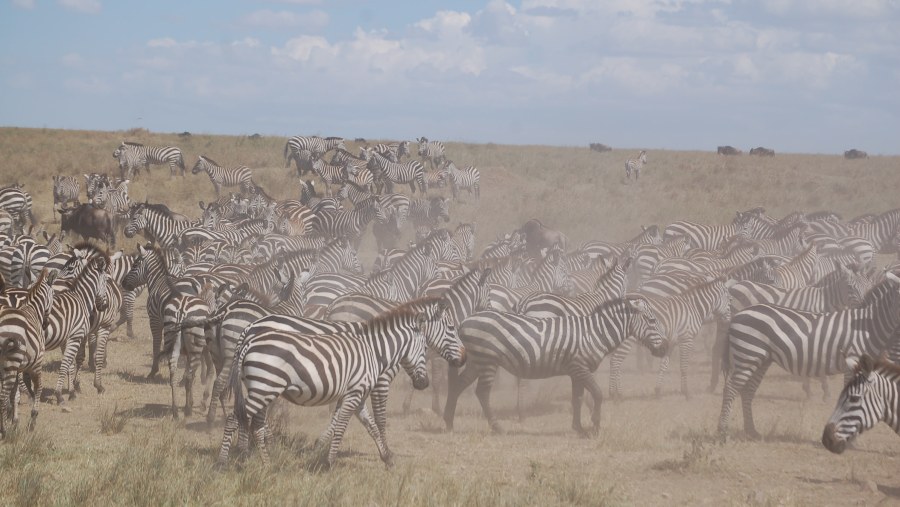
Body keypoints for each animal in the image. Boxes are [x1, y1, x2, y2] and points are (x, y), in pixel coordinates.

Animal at [0, 268, 55, 438]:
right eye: (54, 296)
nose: (46, 324)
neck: (33, 309)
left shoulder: (19, 368)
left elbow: (15, 394)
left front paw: (14, 421)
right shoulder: (36, 363)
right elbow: (38, 387)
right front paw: (32, 420)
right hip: (11, 362)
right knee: (2, 396)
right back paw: (4, 431)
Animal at [217, 298, 454, 468]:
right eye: (424, 348)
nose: (424, 383)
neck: (374, 351)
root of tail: (249, 335)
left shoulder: (356, 394)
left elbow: (368, 425)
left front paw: (387, 457)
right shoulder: (361, 390)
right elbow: (352, 424)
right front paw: (329, 462)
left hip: (263, 388)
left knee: (254, 421)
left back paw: (265, 462)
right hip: (264, 388)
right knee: (235, 418)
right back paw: (224, 462)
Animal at [444, 298, 668, 436]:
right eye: (652, 320)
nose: (665, 348)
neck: (595, 333)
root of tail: (464, 321)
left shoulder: (575, 371)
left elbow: (577, 399)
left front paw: (579, 428)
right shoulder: (580, 367)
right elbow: (597, 394)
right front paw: (595, 425)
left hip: (477, 361)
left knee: (458, 386)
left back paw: (449, 422)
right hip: (488, 360)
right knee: (482, 392)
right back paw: (497, 427)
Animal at [720, 270, 900, 440]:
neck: (869, 326)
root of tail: (739, 314)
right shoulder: (853, 361)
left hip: (761, 359)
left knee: (747, 391)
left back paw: (751, 431)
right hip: (747, 356)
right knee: (730, 389)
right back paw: (722, 432)